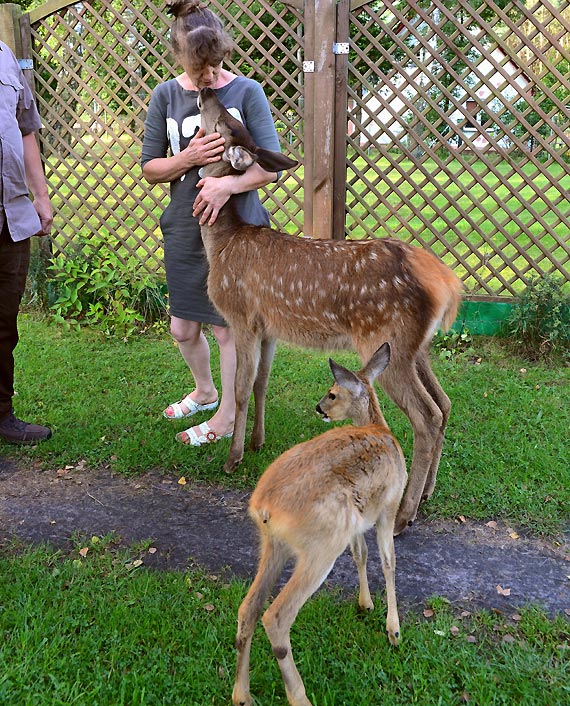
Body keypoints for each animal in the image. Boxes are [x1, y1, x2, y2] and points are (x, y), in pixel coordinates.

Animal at [196, 86, 462, 532]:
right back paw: (426, 493)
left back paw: (404, 514)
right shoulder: (269, 326)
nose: (204, 90)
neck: (223, 243)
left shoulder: (242, 315)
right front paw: (257, 442)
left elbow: (240, 385)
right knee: (442, 404)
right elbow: (261, 382)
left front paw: (233, 458)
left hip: (385, 340)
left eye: (224, 122)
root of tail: (445, 281)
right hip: (415, 347)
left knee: (426, 416)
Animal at [233, 342, 406, 704]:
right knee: (276, 616)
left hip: (274, 545)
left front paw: (365, 604)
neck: (380, 429)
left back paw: (242, 694)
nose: (318, 407)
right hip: (320, 547)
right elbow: (388, 562)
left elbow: (361, 555)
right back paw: (299, 696)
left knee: (248, 608)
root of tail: (264, 507)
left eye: (332, 394)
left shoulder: (359, 522)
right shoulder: (389, 506)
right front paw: (394, 630)